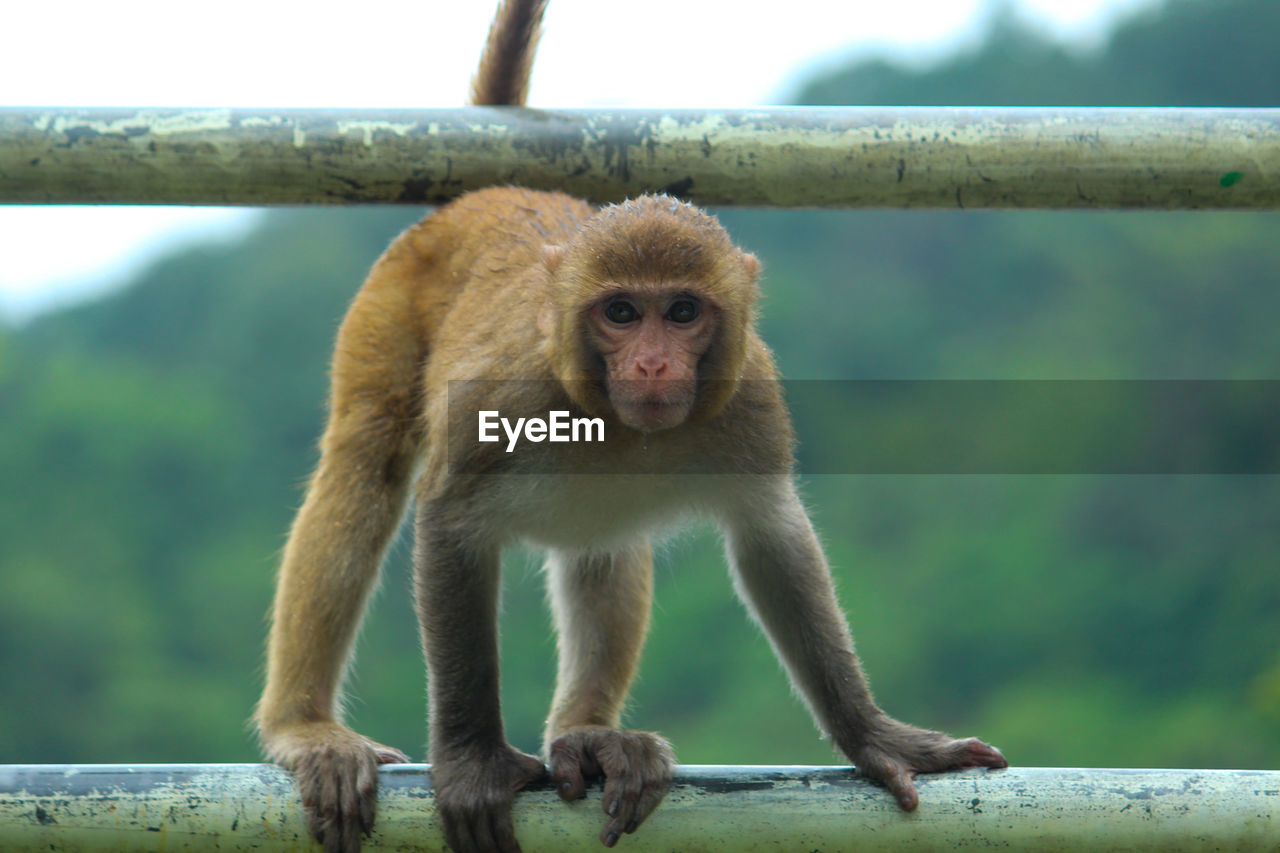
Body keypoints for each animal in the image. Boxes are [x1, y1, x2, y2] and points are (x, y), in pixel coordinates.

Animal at [252, 1, 1008, 850]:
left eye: (680, 312)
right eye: (620, 312)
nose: (650, 364)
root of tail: (491, 193)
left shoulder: (750, 401)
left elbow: (771, 537)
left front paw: (873, 734)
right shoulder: (501, 397)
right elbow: (449, 521)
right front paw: (474, 758)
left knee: (603, 539)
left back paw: (588, 732)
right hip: (387, 305)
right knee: (366, 463)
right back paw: (305, 727)